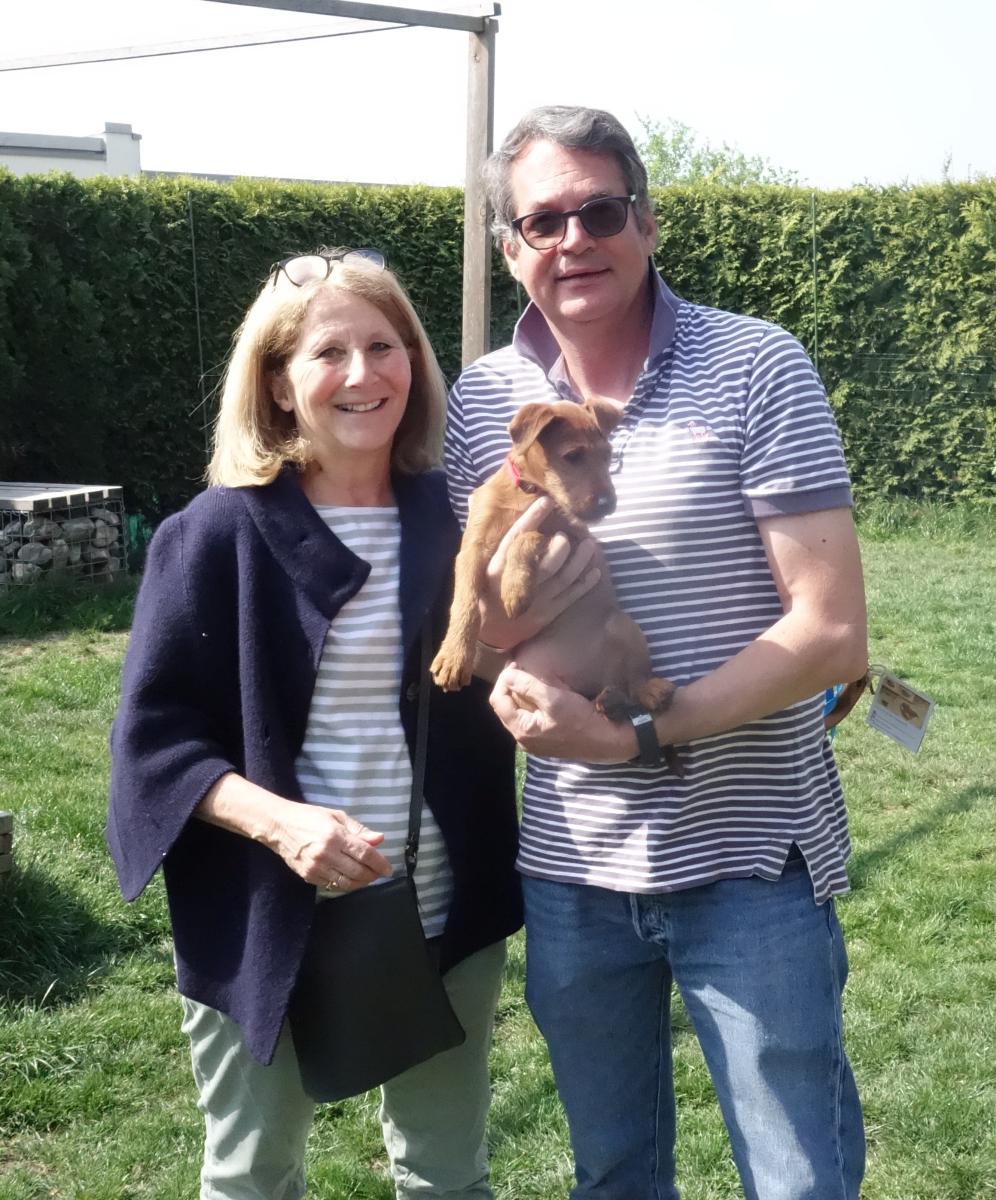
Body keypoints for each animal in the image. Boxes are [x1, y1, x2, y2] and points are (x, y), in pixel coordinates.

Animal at [430, 396, 680, 772]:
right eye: (573, 456)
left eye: (607, 455)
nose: (609, 505)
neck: (527, 492)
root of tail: (587, 684)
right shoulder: (472, 550)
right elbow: (466, 604)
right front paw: (454, 656)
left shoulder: (571, 535)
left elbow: (529, 536)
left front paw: (514, 589)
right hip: (530, 677)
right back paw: (610, 701)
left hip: (624, 626)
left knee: (632, 680)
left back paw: (646, 692)